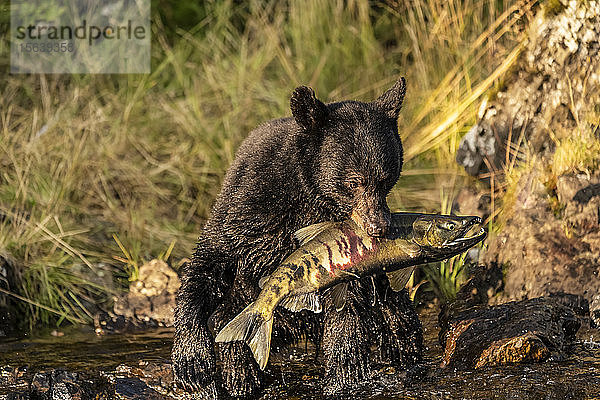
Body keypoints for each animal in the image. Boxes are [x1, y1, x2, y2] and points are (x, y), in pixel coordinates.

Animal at [173, 78, 424, 396]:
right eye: (353, 182)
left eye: (387, 179)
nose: (378, 227)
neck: (309, 194)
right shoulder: (247, 209)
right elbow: (207, 264)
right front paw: (192, 363)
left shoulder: (344, 251)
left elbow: (347, 308)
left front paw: (343, 377)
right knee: (227, 318)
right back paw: (239, 377)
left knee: (400, 320)